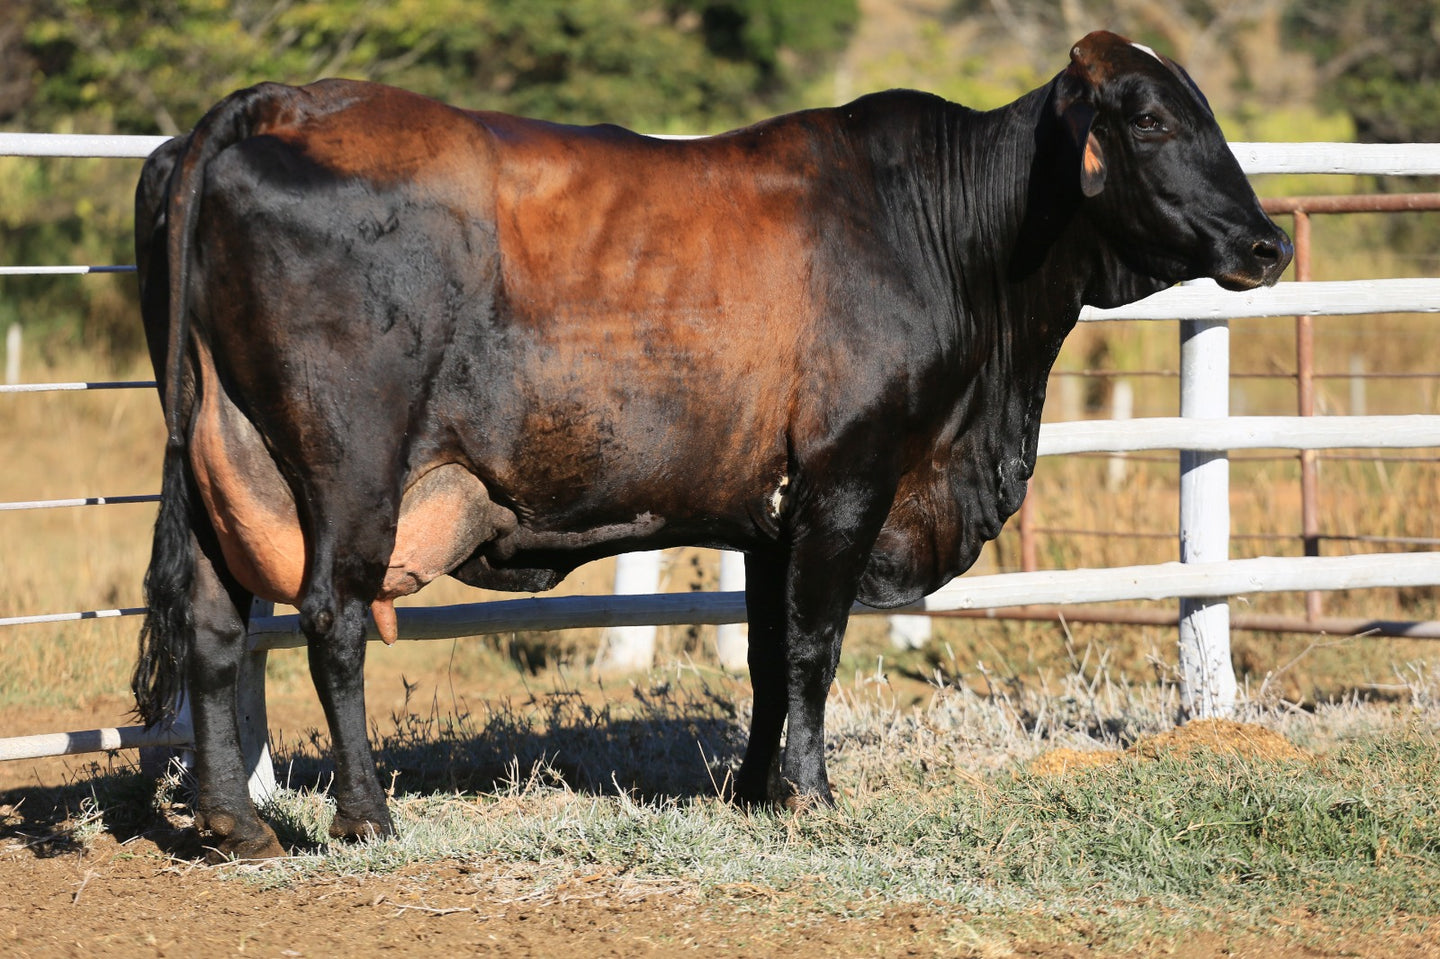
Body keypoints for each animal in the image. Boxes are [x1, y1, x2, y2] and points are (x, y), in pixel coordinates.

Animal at [129, 29, 1290, 852]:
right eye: (1148, 117)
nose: (1269, 240)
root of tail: (277, 100)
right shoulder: (847, 480)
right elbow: (817, 644)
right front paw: (812, 793)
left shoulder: (773, 514)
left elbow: (773, 654)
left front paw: (753, 789)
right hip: (350, 466)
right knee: (330, 615)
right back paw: (367, 815)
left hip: (221, 451)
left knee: (215, 620)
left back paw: (233, 822)